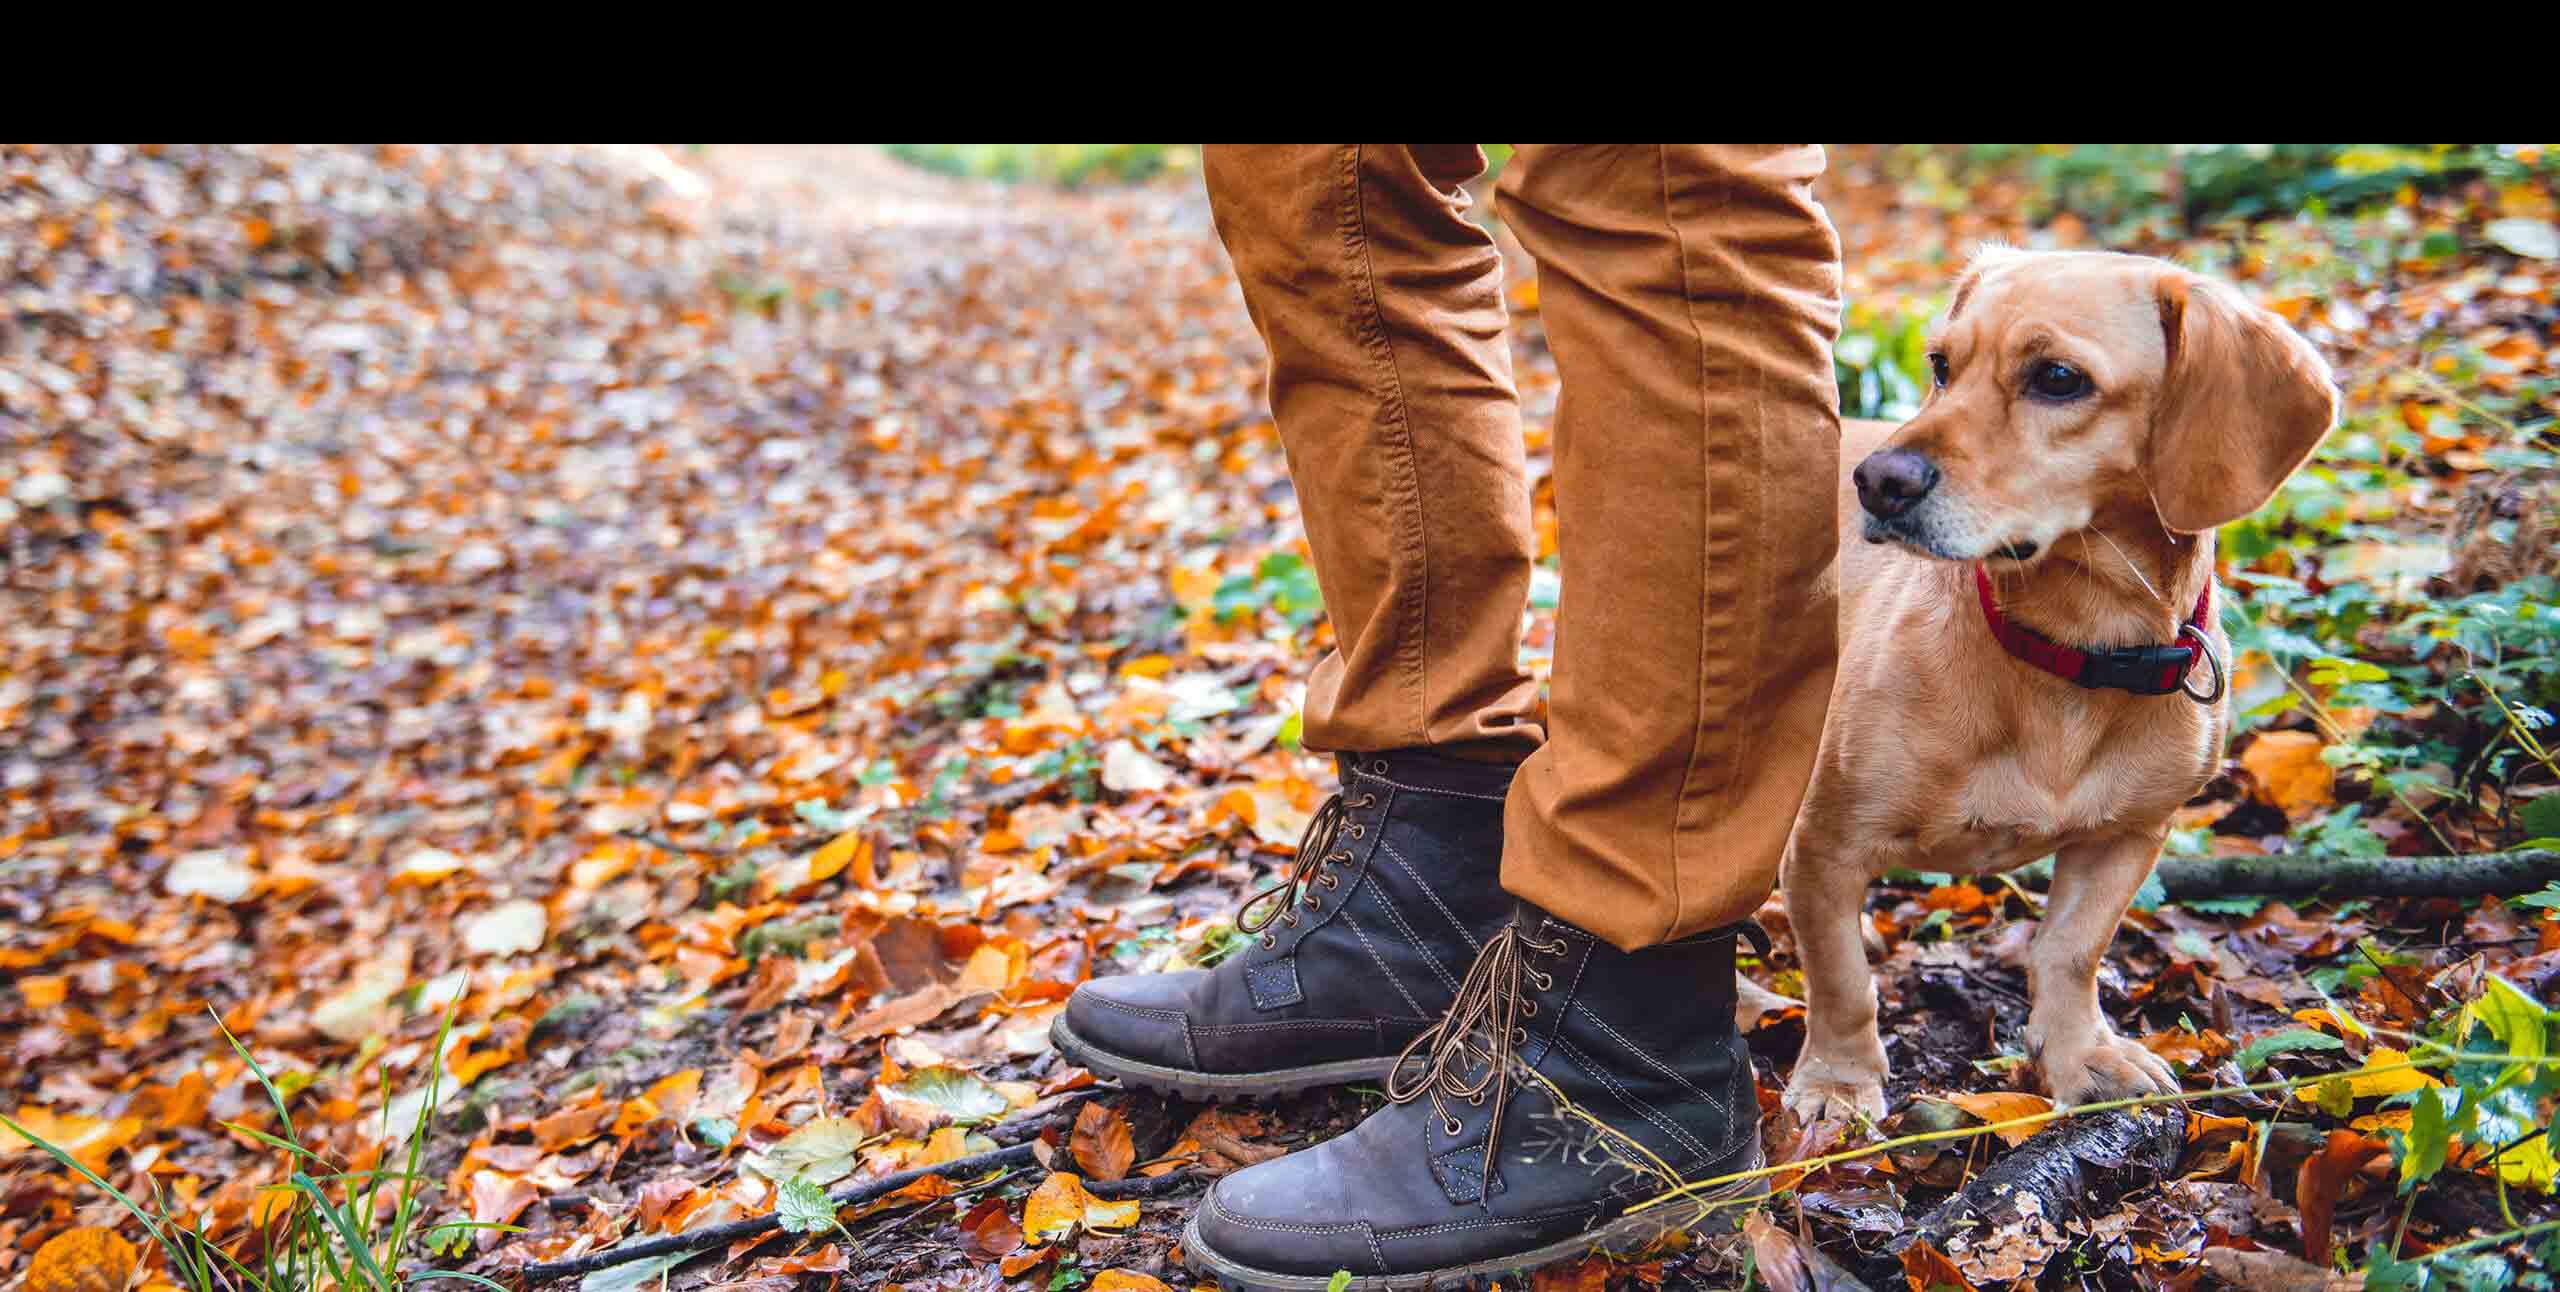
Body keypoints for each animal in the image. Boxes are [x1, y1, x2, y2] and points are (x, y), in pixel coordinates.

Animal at [1781, 246, 2344, 1125]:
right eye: (1942, 365)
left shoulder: (2129, 837)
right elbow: (1842, 982)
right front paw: (1840, 1081)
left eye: (2056, 378)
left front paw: (2080, 1055)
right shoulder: (1823, 850)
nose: (1876, 480)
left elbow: (2071, 951)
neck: (2069, 651)